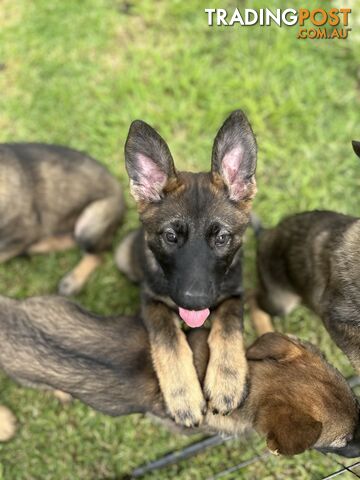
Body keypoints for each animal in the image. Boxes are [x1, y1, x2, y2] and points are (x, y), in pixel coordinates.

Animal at [116, 110, 258, 426]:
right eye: (170, 237)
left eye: (221, 238)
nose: (194, 303)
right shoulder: (151, 301)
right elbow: (168, 340)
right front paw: (183, 396)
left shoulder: (235, 294)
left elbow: (229, 327)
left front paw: (227, 380)